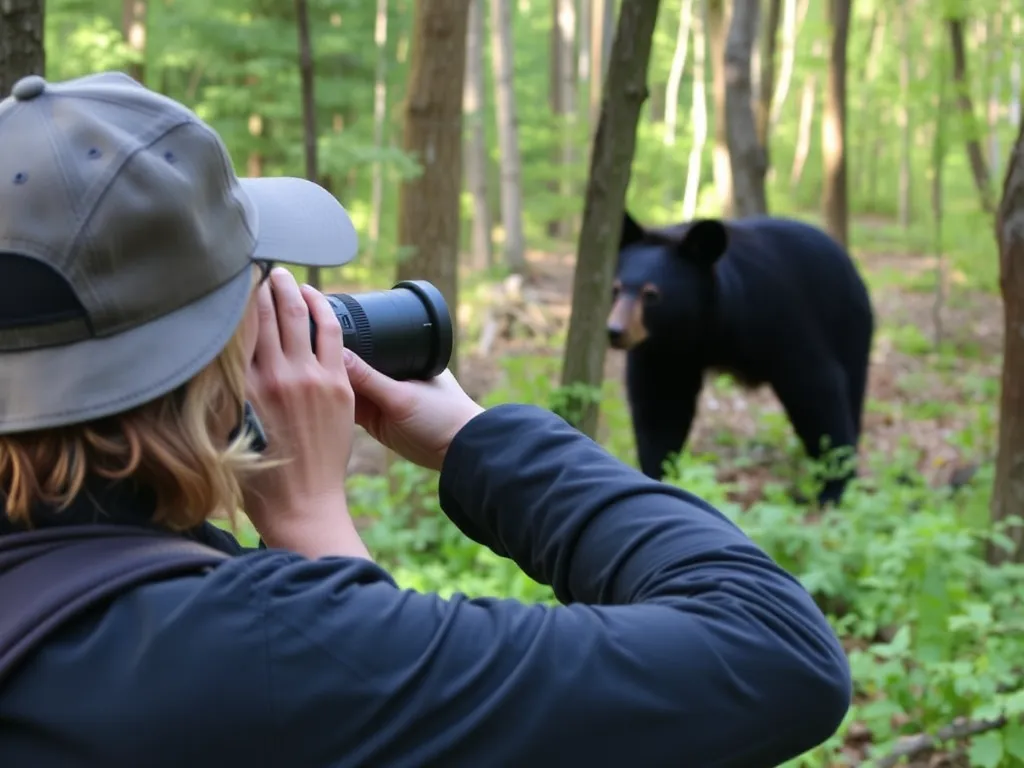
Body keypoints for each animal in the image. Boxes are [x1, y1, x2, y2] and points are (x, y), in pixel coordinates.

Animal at [607, 210, 875, 506]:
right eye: (616, 289)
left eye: (651, 294)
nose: (615, 331)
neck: (704, 327)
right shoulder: (662, 351)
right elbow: (661, 404)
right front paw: (658, 473)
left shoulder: (779, 316)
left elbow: (815, 386)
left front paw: (833, 485)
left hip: (847, 321)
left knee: (852, 385)